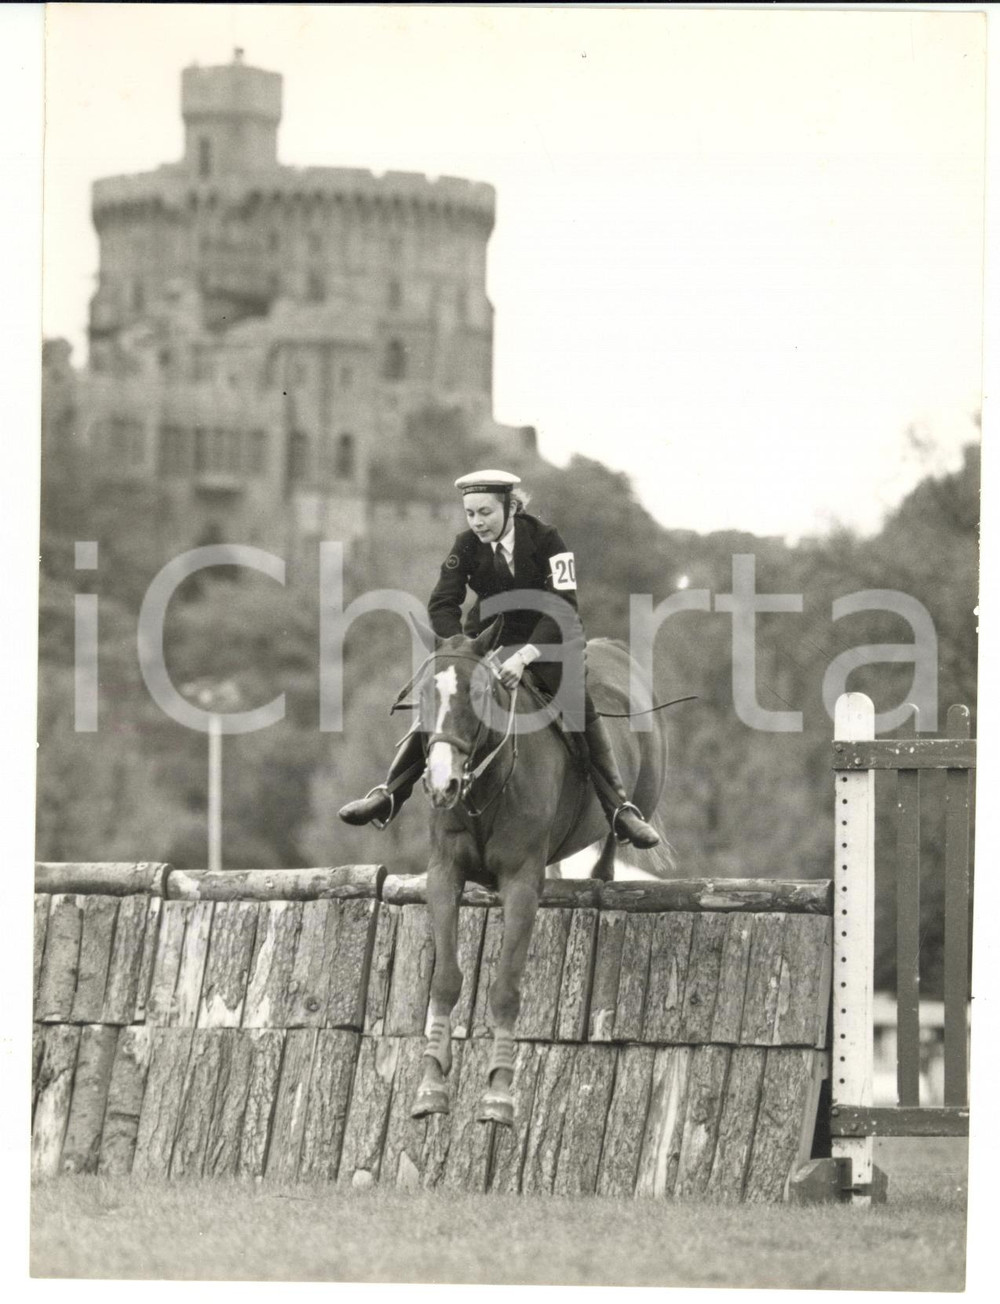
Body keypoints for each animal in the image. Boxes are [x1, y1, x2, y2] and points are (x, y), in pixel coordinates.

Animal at [405, 617, 674, 1126]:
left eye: (479, 692)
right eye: (424, 695)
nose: (442, 784)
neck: (483, 787)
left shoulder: (523, 884)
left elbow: (506, 988)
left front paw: (498, 1093)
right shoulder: (443, 875)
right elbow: (446, 978)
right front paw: (430, 1083)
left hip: (637, 800)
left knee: (615, 837)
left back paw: (615, 847)